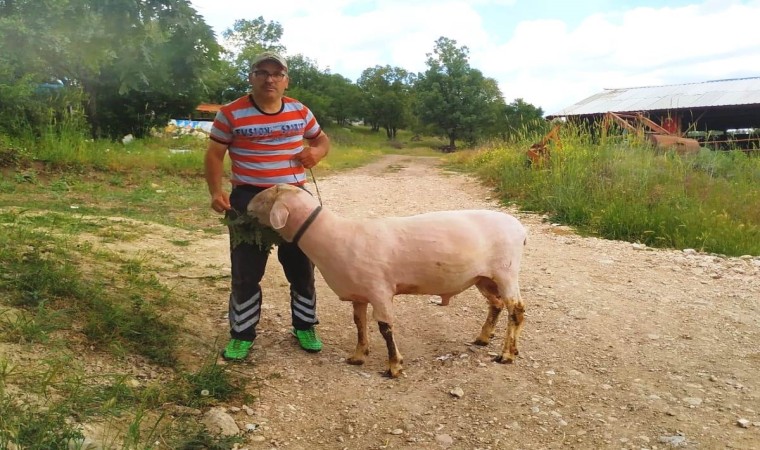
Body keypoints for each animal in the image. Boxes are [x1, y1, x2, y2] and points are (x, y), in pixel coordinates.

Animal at [246, 183, 524, 376]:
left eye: (266, 197)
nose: (245, 206)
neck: (332, 237)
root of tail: (522, 229)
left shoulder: (379, 290)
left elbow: (385, 328)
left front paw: (393, 367)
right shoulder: (359, 293)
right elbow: (359, 324)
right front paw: (358, 356)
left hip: (506, 272)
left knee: (516, 310)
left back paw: (506, 354)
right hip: (483, 277)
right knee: (496, 304)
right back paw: (483, 338)